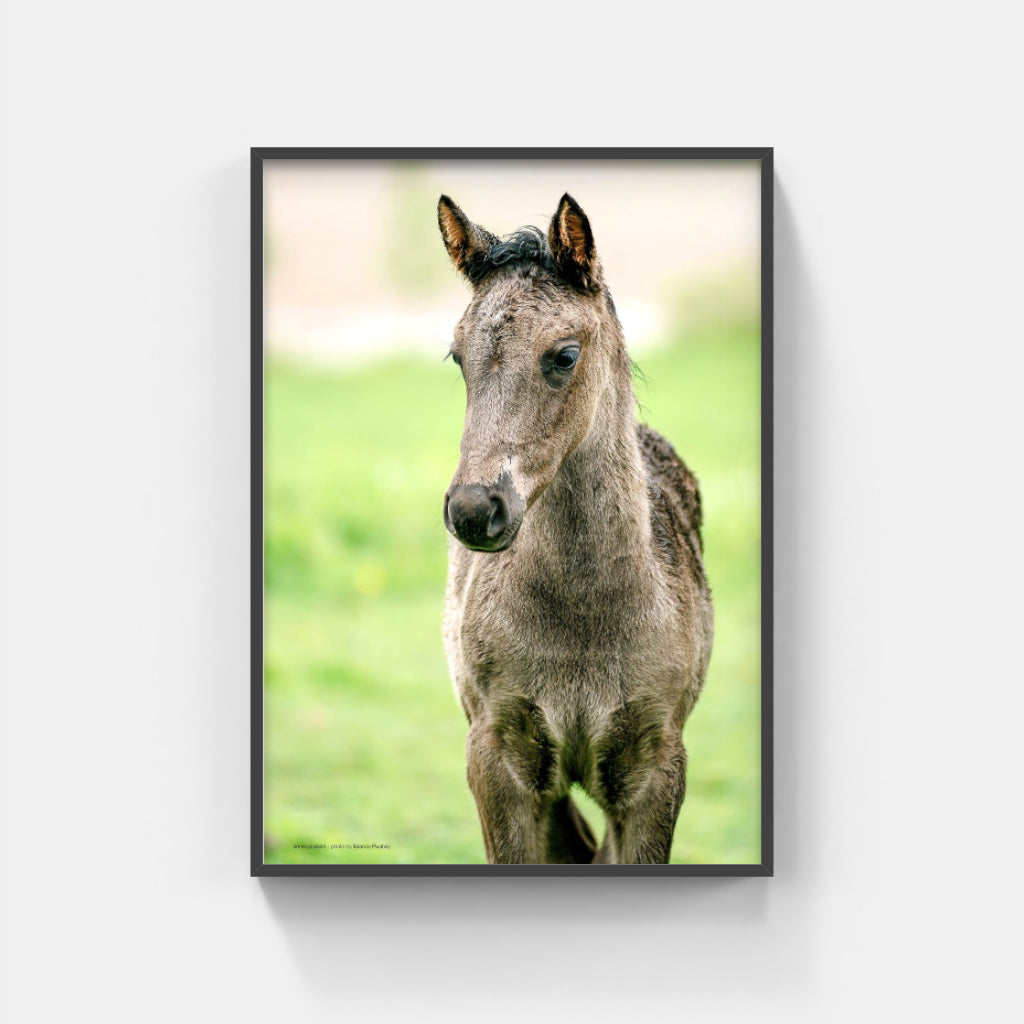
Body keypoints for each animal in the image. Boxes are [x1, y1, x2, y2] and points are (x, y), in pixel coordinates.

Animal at [438, 193, 713, 864]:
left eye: (564, 355)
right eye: (459, 356)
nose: (475, 510)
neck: (584, 618)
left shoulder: (655, 769)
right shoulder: (497, 760)